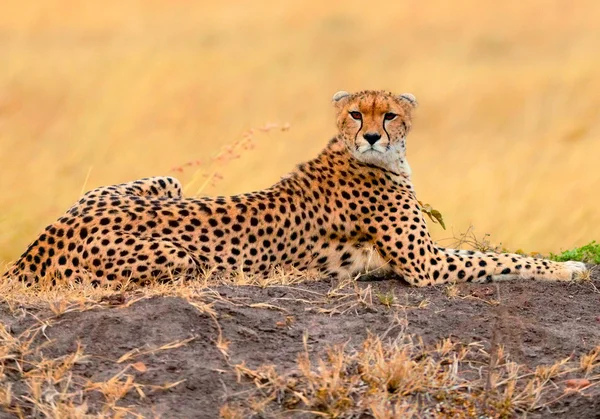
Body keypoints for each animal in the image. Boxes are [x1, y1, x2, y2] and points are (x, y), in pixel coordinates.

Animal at [0, 90, 588, 288]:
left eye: (389, 115)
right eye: (356, 114)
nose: (372, 135)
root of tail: (43, 240)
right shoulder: (427, 266)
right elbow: (504, 258)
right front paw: (568, 269)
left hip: (165, 182)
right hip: (181, 259)